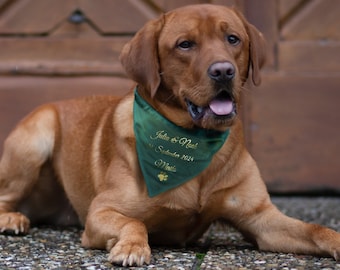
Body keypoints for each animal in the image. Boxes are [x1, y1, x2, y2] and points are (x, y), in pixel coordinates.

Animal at [0, 3, 340, 266]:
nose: (223, 71)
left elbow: (316, 229)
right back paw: (12, 219)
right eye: (185, 44)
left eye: (233, 39)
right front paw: (131, 246)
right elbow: (134, 221)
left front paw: (335, 240)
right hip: (36, 139)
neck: (196, 140)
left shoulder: (261, 218)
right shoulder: (101, 211)